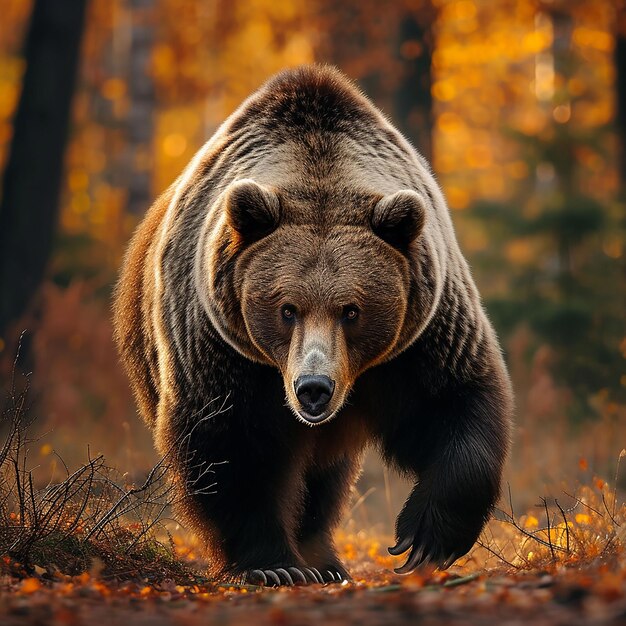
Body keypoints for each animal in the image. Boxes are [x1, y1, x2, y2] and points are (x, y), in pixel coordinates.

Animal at [113, 64, 512, 584]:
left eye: (352, 310)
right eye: (287, 308)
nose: (314, 388)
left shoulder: (424, 332)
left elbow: (454, 402)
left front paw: (422, 537)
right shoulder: (217, 342)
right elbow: (230, 444)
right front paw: (273, 566)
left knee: (325, 480)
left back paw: (324, 559)